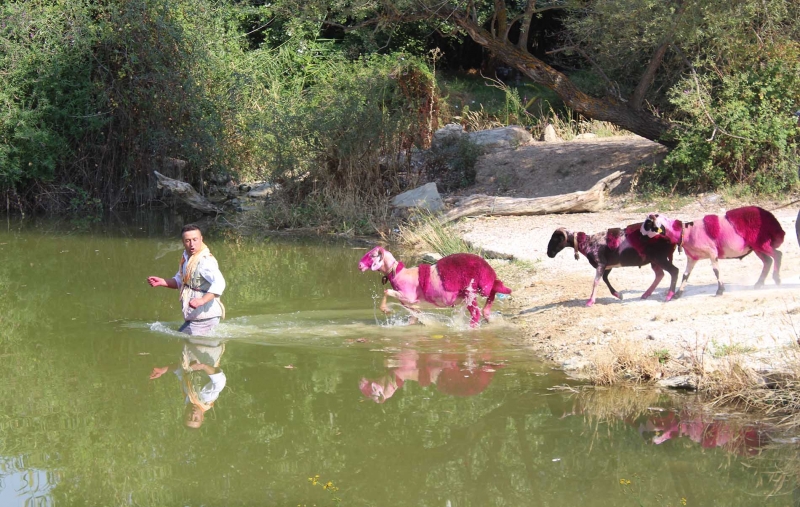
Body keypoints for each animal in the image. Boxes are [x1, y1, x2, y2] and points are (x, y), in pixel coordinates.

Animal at [358, 247, 512, 328]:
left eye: (372, 255)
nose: (359, 265)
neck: (398, 273)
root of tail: (488, 268)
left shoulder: (409, 297)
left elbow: (386, 291)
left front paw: (386, 309)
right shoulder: (411, 304)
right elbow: (413, 318)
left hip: (471, 291)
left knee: (476, 312)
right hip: (477, 290)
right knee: (493, 291)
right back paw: (488, 314)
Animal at [640, 205, 784, 296]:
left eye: (648, 223)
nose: (640, 234)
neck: (685, 232)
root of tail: (771, 219)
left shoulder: (712, 252)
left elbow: (716, 271)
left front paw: (720, 290)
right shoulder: (692, 257)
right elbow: (686, 275)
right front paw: (678, 294)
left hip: (760, 242)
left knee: (777, 255)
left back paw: (776, 279)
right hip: (756, 246)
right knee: (768, 261)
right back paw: (759, 283)